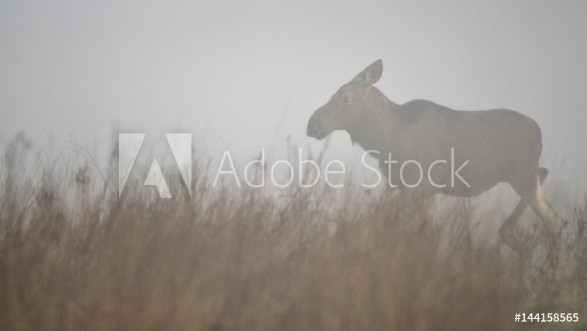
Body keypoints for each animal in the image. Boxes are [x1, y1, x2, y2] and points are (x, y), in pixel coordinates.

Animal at [308, 60, 560, 252]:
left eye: (346, 98)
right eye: (332, 95)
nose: (312, 124)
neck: (385, 140)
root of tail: (539, 133)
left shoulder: (423, 186)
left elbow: (424, 233)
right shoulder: (404, 187)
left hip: (522, 176)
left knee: (552, 217)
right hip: (523, 175)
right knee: (544, 180)